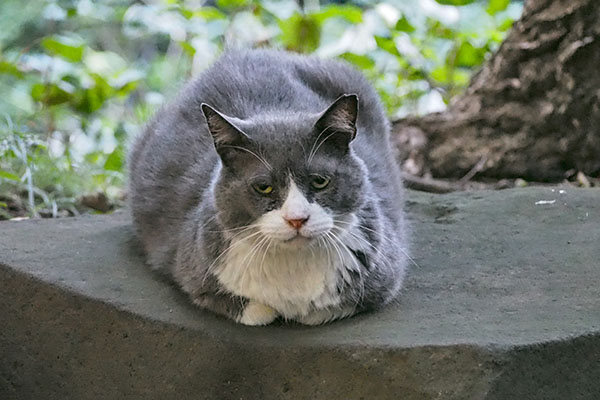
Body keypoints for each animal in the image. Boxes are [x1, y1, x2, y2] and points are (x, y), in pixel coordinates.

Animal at [126, 49, 408, 324]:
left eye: (320, 181)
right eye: (263, 187)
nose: (297, 219)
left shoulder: (384, 269)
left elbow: (324, 310)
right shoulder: (192, 269)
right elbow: (252, 309)